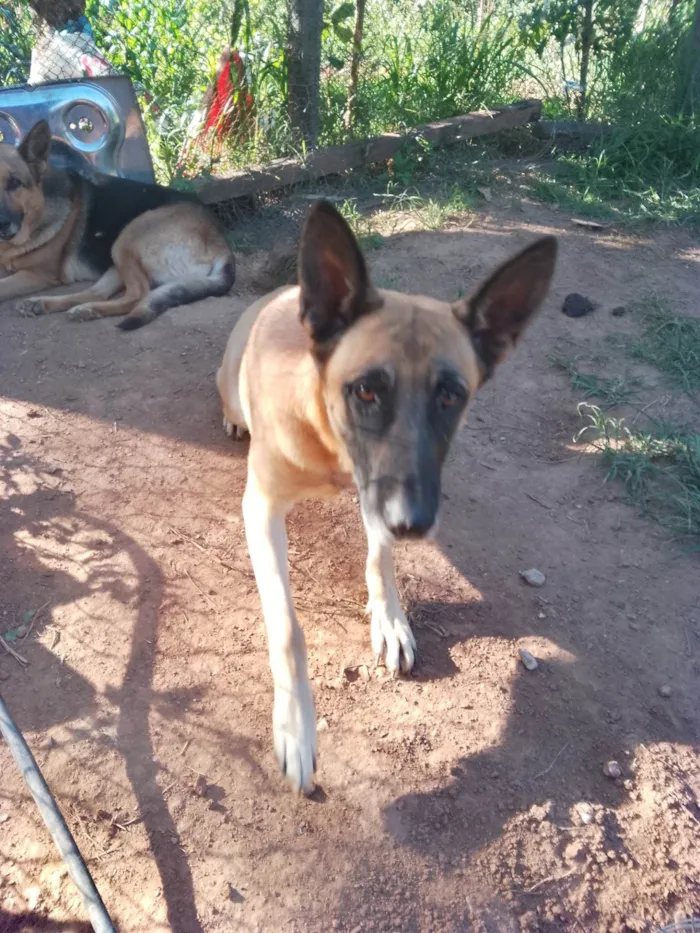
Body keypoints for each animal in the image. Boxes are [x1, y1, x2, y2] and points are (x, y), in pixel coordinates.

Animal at [219, 200, 556, 792]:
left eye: (450, 396)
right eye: (366, 390)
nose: (414, 524)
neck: (328, 437)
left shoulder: (380, 492)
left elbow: (380, 557)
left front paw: (391, 619)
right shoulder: (260, 508)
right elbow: (288, 629)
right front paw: (296, 727)